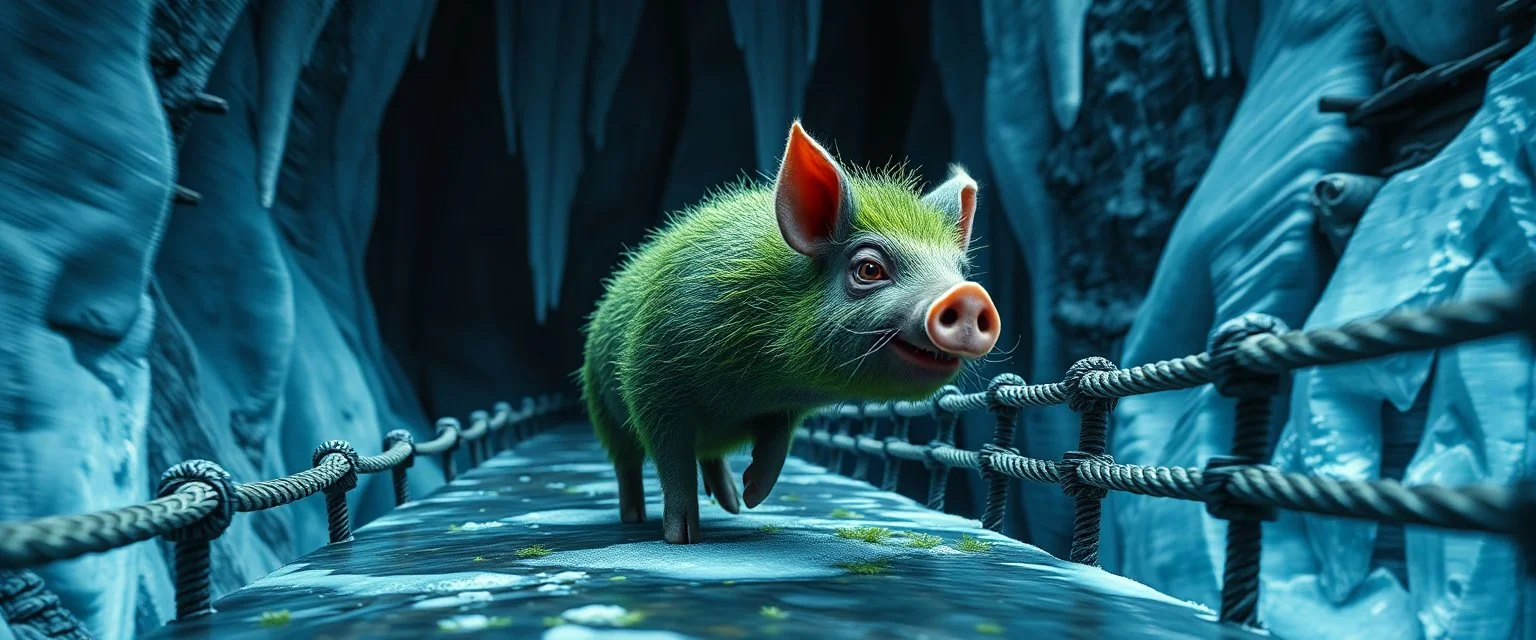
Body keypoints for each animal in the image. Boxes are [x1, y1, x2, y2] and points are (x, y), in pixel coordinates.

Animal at [579, 121, 1001, 544]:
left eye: (961, 270)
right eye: (869, 269)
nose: (969, 294)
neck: (760, 384)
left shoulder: (784, 409)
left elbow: (777, 445)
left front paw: (753, 498)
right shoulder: (650, 380)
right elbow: (672, 461)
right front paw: (683, 537)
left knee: (710, 455)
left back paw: (732, 505)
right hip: (599, 403)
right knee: (627, 463)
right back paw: (634, 517)